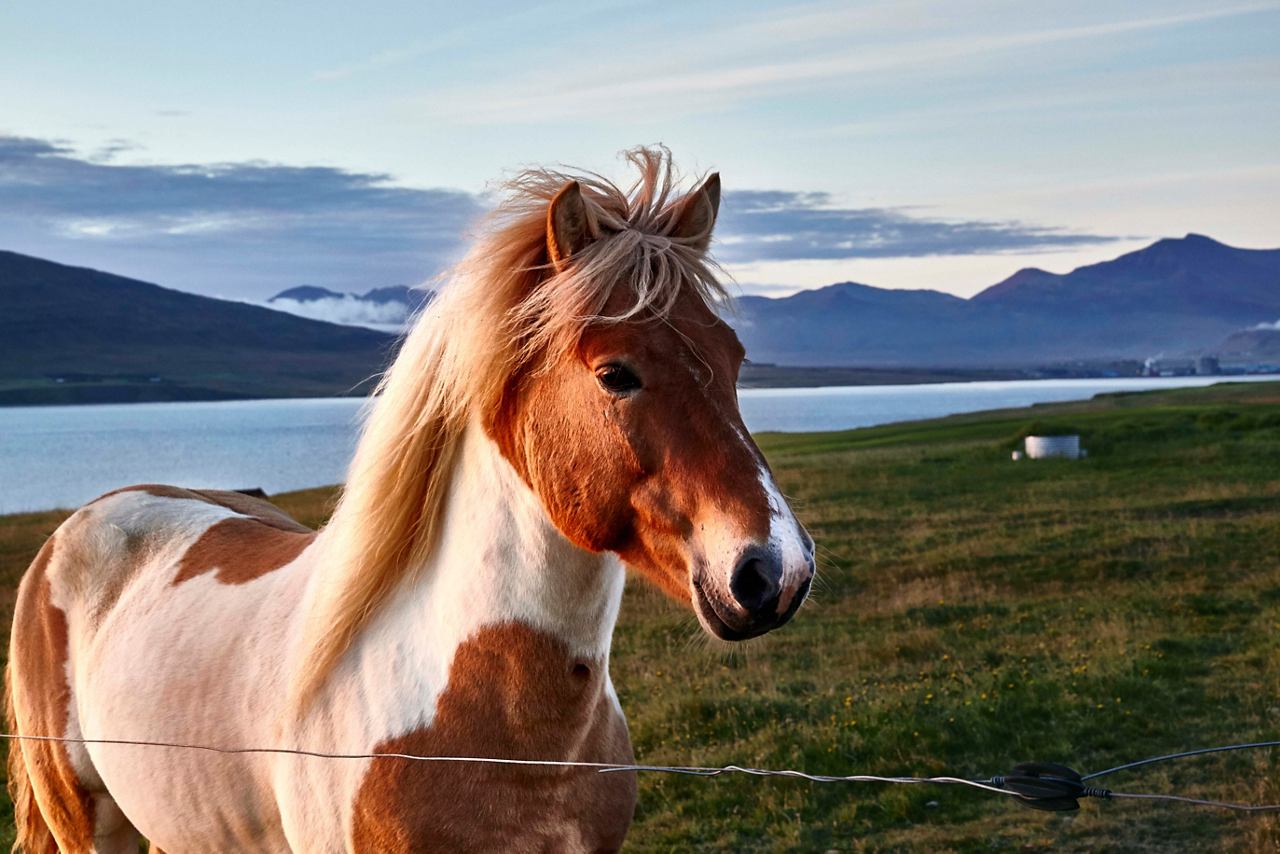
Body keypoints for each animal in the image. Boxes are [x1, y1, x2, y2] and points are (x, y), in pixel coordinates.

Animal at [6, 147, 816, 853]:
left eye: (735, 360)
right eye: (615, 372)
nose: (775, 571)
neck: (517, 741)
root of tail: (92, 515)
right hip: (87, 823)